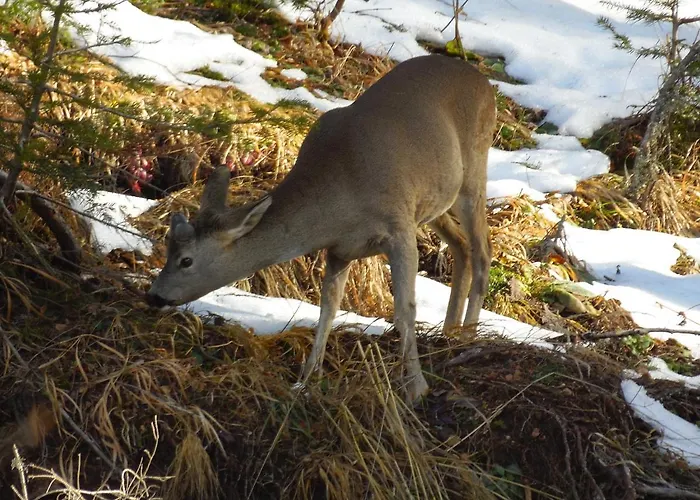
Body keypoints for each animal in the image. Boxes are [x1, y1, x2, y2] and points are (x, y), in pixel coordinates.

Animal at [146, 54, 497, 402]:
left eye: (186, 260)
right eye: (167, 247)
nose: (154, 296)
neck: (340, 201)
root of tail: (482, 80)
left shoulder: (398, 228)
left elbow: (404, 310)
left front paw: (416, 388)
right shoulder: (340, 249)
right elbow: (327, 310)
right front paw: (305, 381)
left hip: (473, 171)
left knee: (483, 250)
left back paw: (468, 335)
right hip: (434, 202)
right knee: (461, 245)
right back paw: (450, 331)